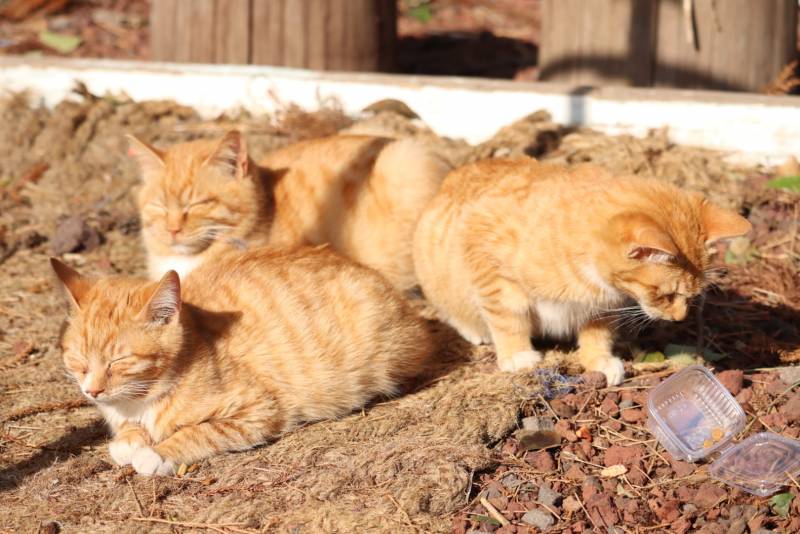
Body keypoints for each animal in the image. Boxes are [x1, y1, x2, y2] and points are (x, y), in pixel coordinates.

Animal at [53, 247, 434, 478]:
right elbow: (130, 433)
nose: (92, 391)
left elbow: (198, 431)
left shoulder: (258, 410)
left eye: (119, 360)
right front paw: (130, 441)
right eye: (78, 360)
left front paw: (156, 453)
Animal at [412, 159, 752, 386]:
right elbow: (508, 318)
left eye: (691, 296)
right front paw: (518, 355)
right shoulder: (490, 266)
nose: (680, 318)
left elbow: (597, 332)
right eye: (666, 294)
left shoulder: (602, 307)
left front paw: (597, 360)